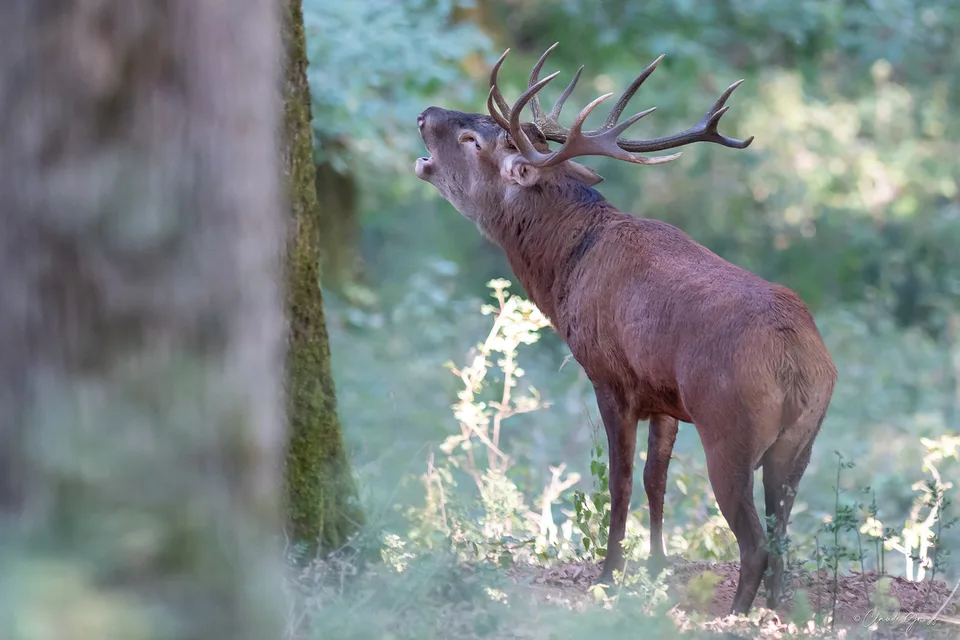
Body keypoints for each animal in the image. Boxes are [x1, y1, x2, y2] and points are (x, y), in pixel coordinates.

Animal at [414, 43, 837, 615]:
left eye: (471, 139)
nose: (423, 114)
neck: (567, 269)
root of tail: (796, 360)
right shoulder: (662, 395)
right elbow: (656, 480)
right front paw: (656, 567)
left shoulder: (610, 375)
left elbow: (620, 482)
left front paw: (610, 574)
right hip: (801, 438)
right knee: (781, 528)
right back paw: (774, 608)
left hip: (729, 426)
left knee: (754, 540)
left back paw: (735, 615)